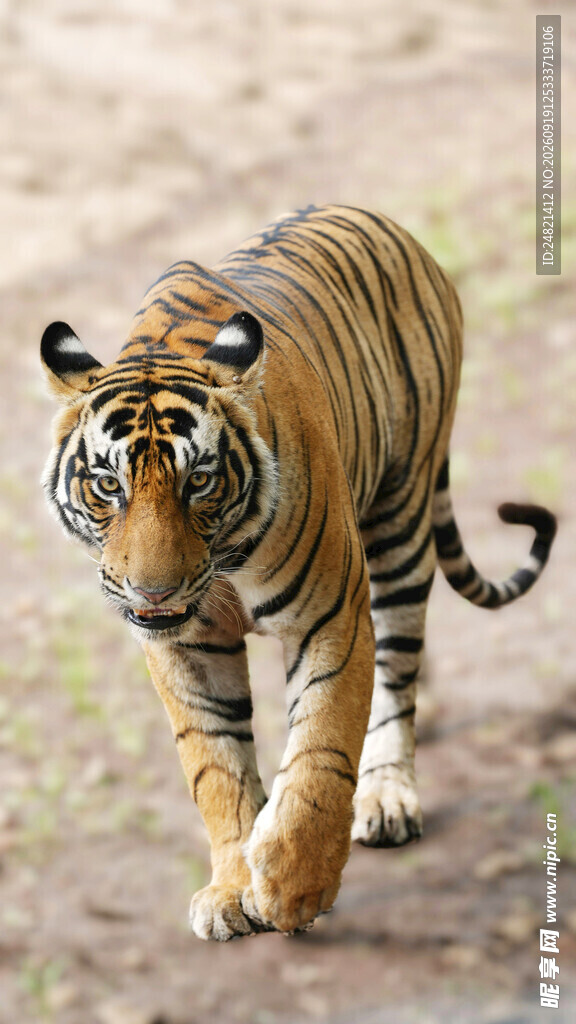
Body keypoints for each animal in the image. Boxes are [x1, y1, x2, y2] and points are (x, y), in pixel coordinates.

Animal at [41, 205, 556, 941]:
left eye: (199, 481)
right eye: (109, 485)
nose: (153, 590)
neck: (221, 566)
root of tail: (389, 224)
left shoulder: (330, 616)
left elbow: (320, 750)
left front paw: (291, 889)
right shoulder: (184, 646)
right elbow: (216, 765)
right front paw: (232, 890)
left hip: (400, 523)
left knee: (397, 672)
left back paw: (388, 795)